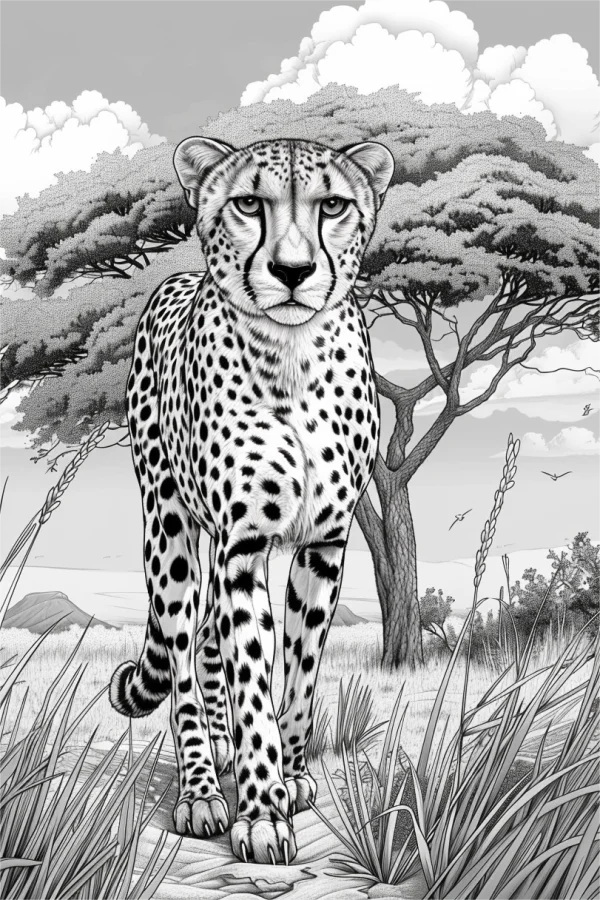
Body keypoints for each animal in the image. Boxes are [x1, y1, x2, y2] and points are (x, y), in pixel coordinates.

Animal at [109, 135, 394, 865]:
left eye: (332, 205)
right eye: (247, 204)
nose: (292, 271)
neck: (291, 354)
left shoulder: (324, 545)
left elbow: (299, 673)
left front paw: (289, 779)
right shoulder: (243, 546)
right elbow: (252, 678)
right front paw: (261, 813)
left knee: (209, 642)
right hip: (169, 532)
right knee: (186, 658)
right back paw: (202, 790)